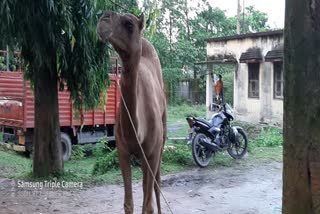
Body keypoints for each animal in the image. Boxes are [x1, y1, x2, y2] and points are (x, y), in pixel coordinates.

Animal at [97, 11, 168, 214]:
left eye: (129, 24)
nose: (103, 18)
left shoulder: (152, 152)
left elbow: (148, 204)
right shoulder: (122, 150)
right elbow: (129, 203)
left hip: (161, 140)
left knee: (156, 184)